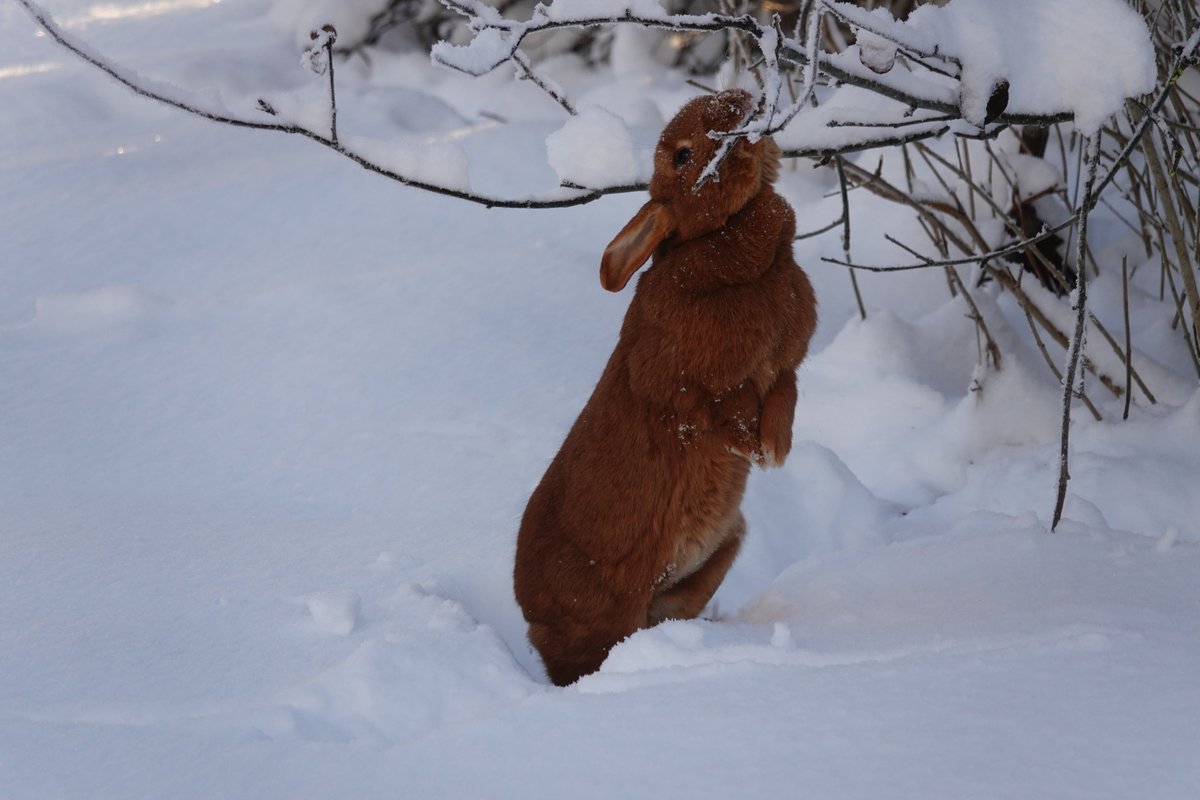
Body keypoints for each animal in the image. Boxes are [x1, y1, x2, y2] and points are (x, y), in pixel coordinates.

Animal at [514, 89, 817, 686]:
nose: (742, 98)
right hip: (611, 608)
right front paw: (758, 450)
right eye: (682, 156)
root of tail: (531, 619)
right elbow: (722, 408)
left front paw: (776, 449)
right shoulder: (688, 384)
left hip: (718, 556)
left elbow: (784, 397)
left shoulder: (785, 369)